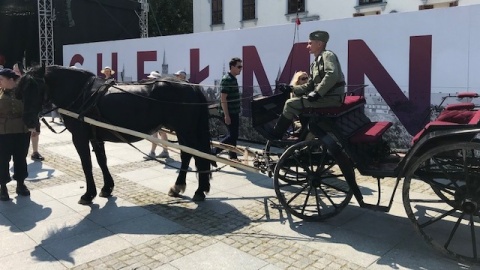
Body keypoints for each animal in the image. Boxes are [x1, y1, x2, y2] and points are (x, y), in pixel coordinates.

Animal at [16, 66, 212, 205]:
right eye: (22, 90)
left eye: (38, 88)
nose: (28, 121)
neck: (80, 93)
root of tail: (193, 87)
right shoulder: (96, 137)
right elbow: (102, 161)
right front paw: (107, 188)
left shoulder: (79, 137)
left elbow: (87, 164)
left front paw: (88, 194)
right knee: (189, 155)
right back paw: (181, 188)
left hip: (186, 130)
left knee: (195, 155)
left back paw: (197, 190)